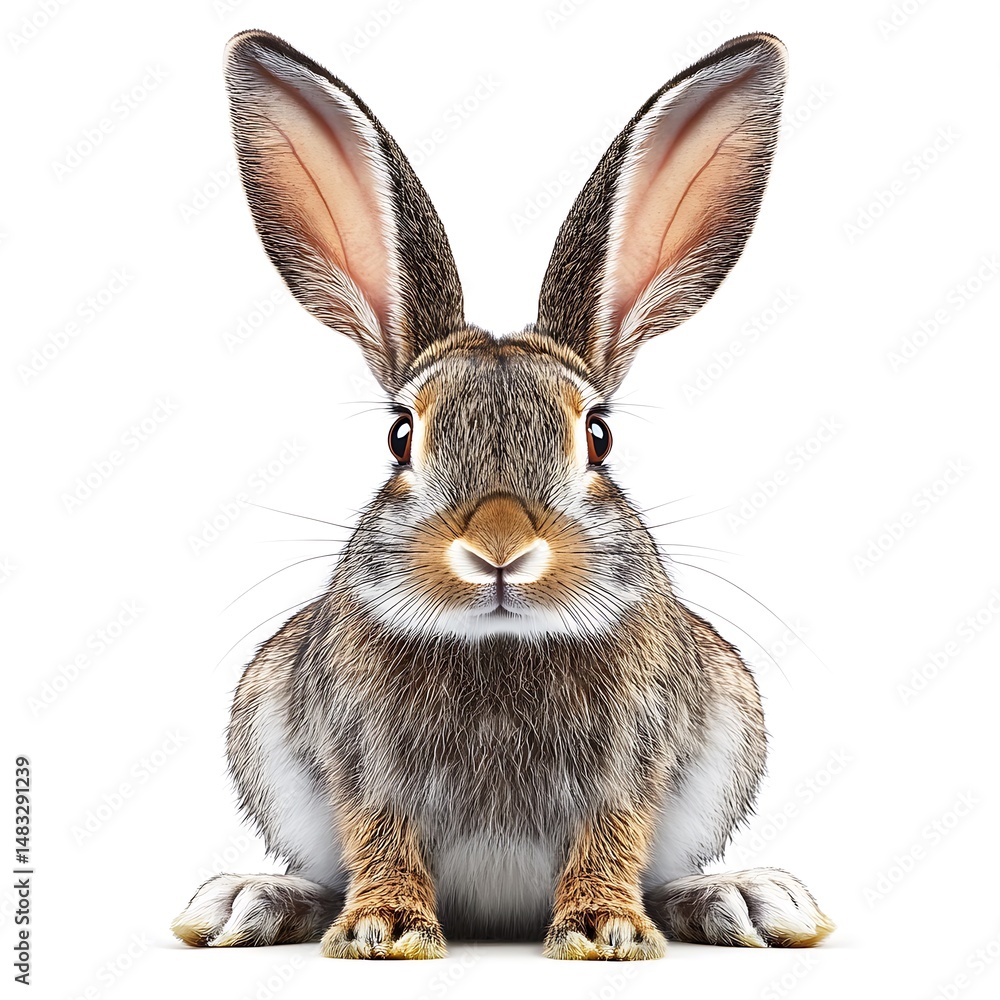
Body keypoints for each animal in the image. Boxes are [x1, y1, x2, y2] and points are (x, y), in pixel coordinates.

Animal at [172, 29, 834, 960]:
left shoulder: (634, 762)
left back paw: (743, 899)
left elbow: (612, 836)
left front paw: (602, 931)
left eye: (598, 436)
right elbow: (378, 834)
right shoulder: (359, 762)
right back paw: (250, 901)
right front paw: (383, 930)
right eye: (399, 436)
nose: (498, 549)